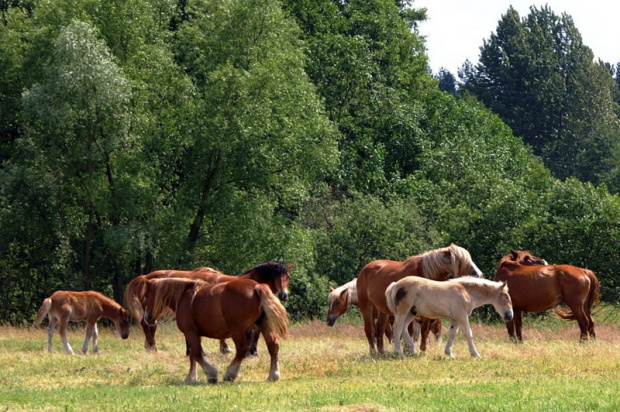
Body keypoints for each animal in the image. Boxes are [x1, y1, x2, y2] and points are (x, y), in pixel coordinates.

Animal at [126, 262, 294, 352]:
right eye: (277, 276)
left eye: (288, 277)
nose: (284, 295)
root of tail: (146, 277)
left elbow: (256, 333)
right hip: (154, 310)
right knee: (146, 325)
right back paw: (152, 347)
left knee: (150, 326)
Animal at [143, 276, 288, 384]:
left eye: (146, 296)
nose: (147, 318)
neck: (184, 296)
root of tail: (256, 286)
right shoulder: (195, 335)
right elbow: (193, 355)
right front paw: (191, 377)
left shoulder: (190, 333)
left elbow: (197, 354)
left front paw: (211, 374)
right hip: (264, 325)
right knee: (273, 347)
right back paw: (273, 375)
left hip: (238, 331)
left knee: (242, 350)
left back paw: (230, 374)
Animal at [354, 243, 484, 356]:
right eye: (462, 261)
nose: (478, 274)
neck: (424, 272)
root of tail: (365, 269)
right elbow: (410, 330)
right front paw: (408, 350)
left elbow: (424, 331)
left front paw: (422, 350)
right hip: (366, 307)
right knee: (369, 330)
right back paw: (373, 352)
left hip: (383, 311)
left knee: (379, 330)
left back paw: (381, 352)